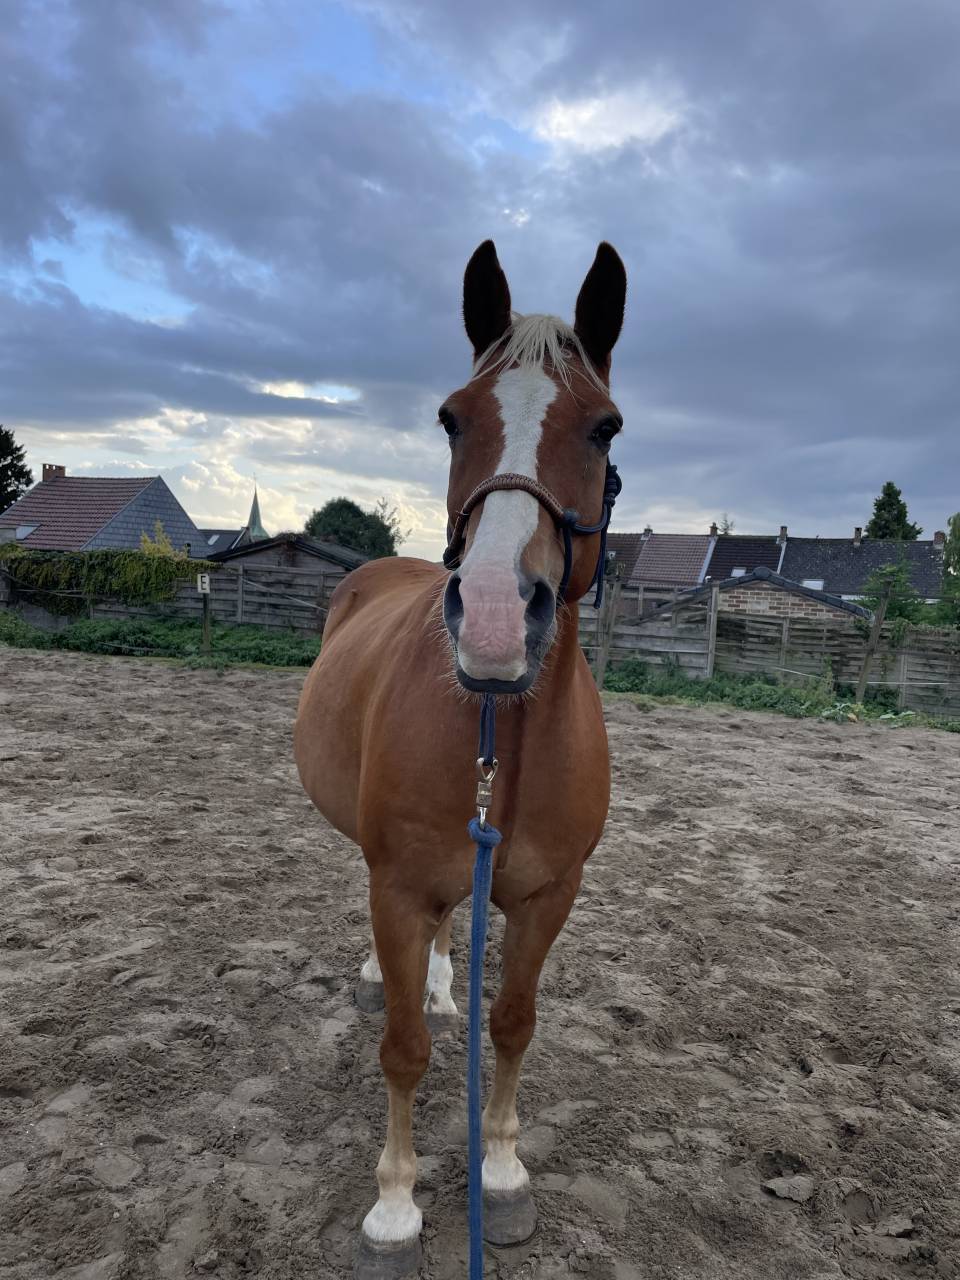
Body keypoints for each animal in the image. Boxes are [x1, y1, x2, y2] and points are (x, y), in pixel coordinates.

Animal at [294, 239, 626, 1277]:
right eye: (451, 418)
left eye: (605, 427)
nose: (490, 617)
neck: (499, 729)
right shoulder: (396, 884)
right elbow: (402, 1050)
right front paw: (394, 1210)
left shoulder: (548, 895)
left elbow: (512, 1024)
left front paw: (503, 1174)